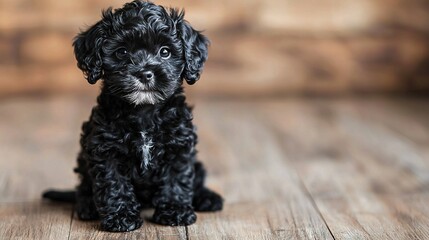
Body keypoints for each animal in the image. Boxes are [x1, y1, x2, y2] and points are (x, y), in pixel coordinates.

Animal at [42, 0, 222, 232]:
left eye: (165, 52)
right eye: (121, 52)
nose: (144, 73)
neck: (143, 110)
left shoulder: (179, 146)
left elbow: (177, 179)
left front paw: (175, 212)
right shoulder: (105, 150)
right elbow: (114, 183)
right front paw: (121, 217)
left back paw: (208, 198)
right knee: (83, 186)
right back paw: (87, 206)